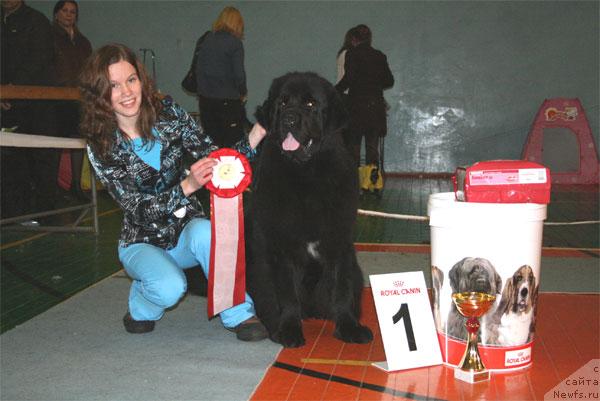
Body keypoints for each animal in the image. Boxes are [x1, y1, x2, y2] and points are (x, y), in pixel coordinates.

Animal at [246, 72, 372, 346]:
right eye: (282, 103)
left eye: (311, 104)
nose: (289, 119)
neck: (307, 176)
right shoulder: (283, 247)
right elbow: (288, 294)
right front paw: (289, 330)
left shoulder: (339, 242)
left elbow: (341, 288)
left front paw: (349, 327)